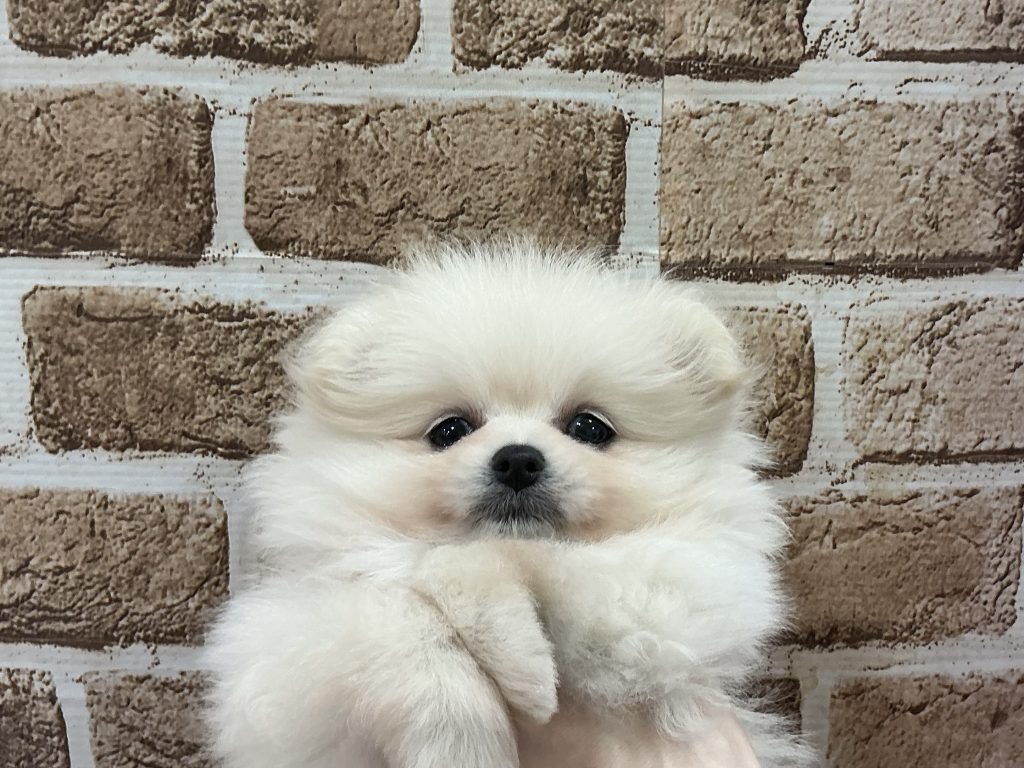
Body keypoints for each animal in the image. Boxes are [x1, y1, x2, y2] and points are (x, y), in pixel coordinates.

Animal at [204, 240, 808, 767]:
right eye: (449, 430)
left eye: (589, 427)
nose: (518, 460)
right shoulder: (277, 658)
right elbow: (397, 621)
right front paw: (461, 742)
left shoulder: (689, 591)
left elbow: (484, 558)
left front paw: (521, 661)